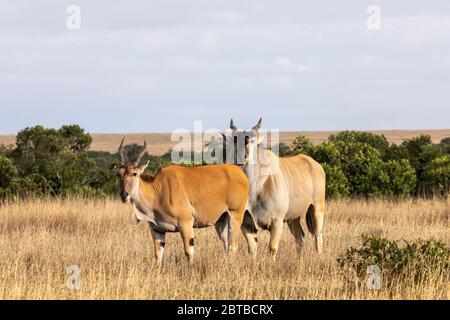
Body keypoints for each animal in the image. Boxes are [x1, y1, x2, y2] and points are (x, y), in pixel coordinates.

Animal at [116, 139, 250, 264]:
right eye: (118, 174)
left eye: (134, 173)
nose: (124, 195)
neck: (157, 192)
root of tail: (240, 173)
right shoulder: (157, 230)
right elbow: (158, 255)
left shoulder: (185, 224)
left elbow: (188, 252)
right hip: (221, 220)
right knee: (227, 245)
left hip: (235, 214)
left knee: (233, 246)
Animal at [223, 119, 326, 258]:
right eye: (235, 139)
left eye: (253, 140)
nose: (242, 156)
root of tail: (316, 165)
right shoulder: (246, 225)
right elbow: (252, 249)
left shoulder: (277, 221)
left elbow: (272, 249)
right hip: (293, 217)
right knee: (300, 238)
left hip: (317, 209)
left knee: (317, 236)